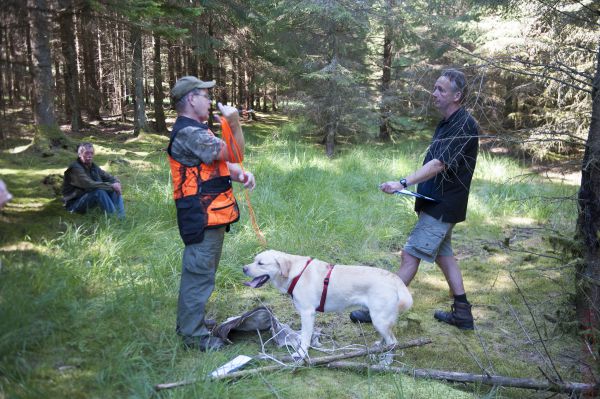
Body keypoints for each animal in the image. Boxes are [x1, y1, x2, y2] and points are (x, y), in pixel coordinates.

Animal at [244, 250, 412, 360]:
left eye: (261, 263)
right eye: (254, 259)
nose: (243, 268)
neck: (295, 272)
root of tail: (393, 277)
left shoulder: (307, 313)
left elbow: (305, 337)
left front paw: (301, 354)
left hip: (379, 319)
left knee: (393, 342)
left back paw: (386, 362)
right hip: (379, 319)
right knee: (388, 336)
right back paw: (379, 346)